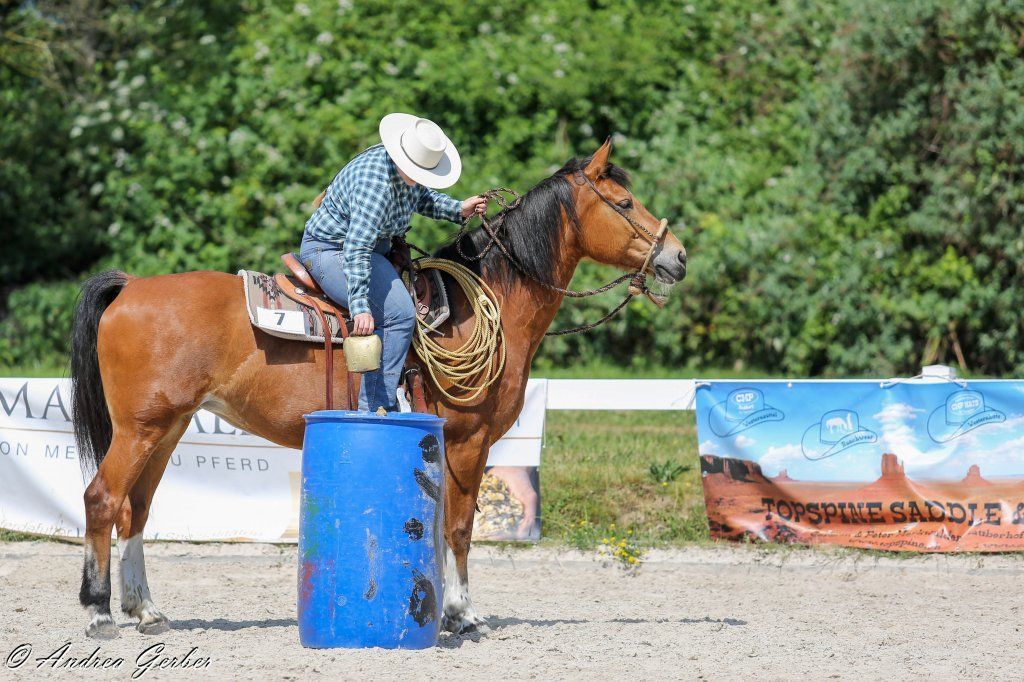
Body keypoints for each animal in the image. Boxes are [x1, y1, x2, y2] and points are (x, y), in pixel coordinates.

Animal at [69, 140, 687, 639]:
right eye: (624, 203)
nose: (676, 255)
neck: (487, 299)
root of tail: (130, 286)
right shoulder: (469, 439)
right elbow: (458, 527)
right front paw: (462, 615)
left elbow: (440, 527)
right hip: (141, 428)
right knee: (102, 498)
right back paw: (99, 613)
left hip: (166, 428)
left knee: (137, 508)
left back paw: (146, 610)